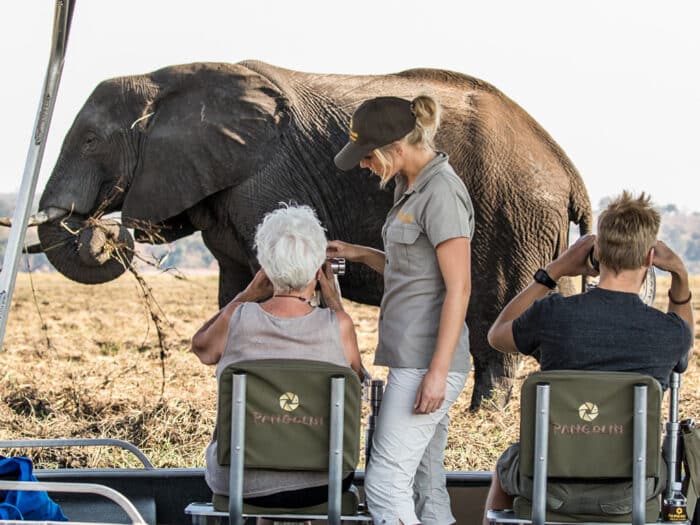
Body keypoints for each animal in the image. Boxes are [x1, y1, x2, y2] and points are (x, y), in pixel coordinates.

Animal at [34, 59, 592, 408]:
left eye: (90, 140)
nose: (106, 230)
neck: (161, 79)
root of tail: (567, 167)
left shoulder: (265, 177)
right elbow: (236, 290)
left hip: (510, 214)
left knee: (494, 319)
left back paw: (482, 414)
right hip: (539, 231)